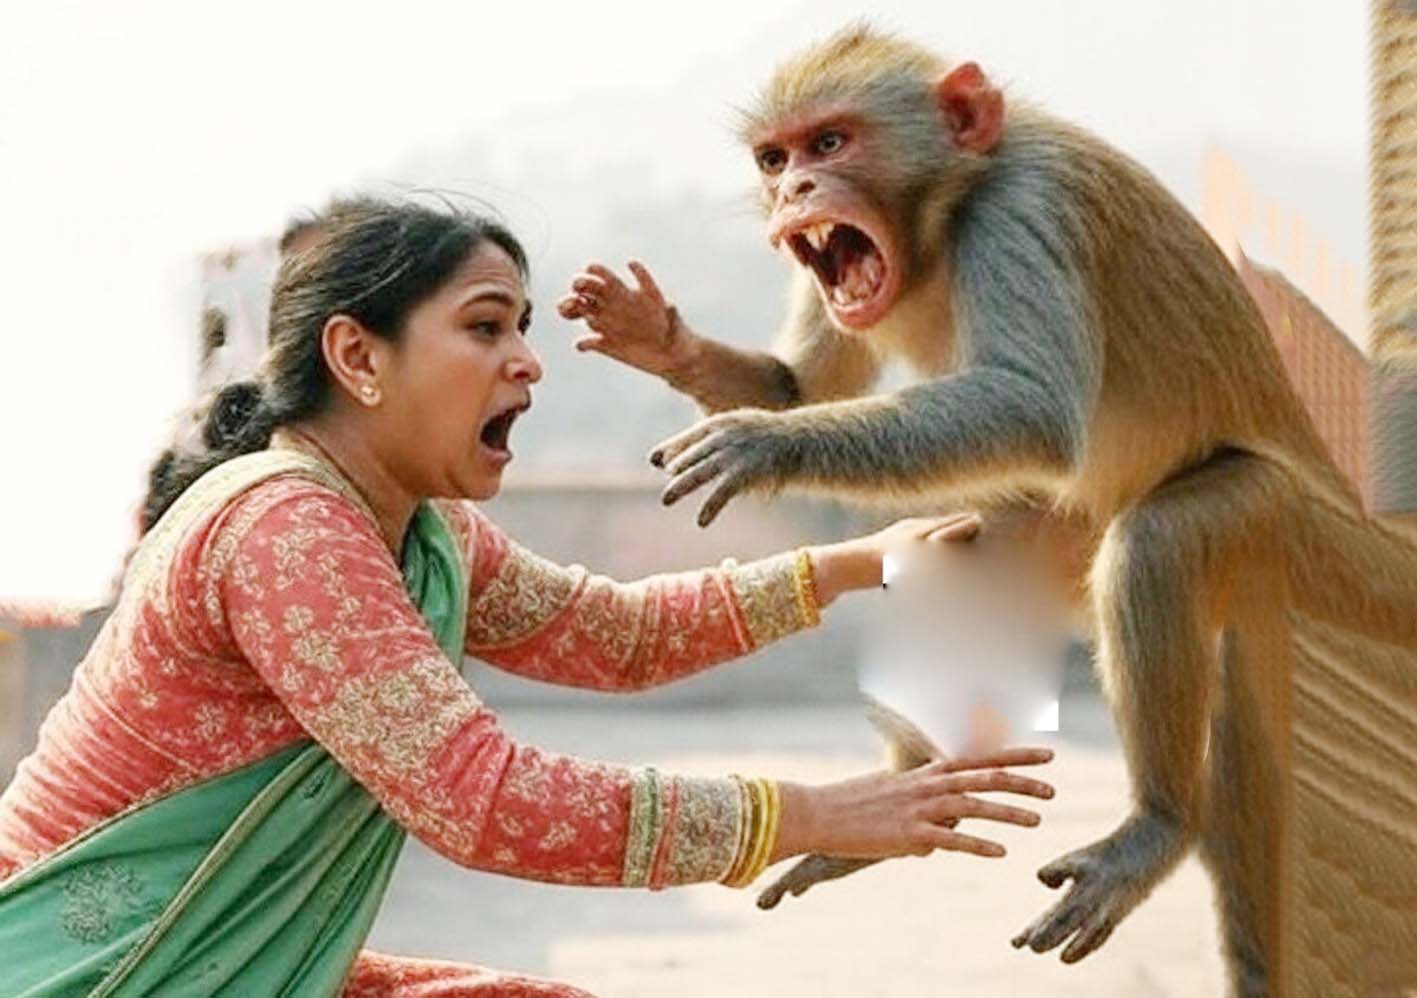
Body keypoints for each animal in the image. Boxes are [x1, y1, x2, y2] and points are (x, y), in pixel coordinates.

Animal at [559, 23, 1417, 995]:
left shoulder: (1021, 210)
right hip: (1081, 528)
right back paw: (903, 801)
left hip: (1306, 538)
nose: (793, 191)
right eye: (774, 157)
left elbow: (1031, 409)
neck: (942, 217)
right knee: (955, 553)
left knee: (1162, 538)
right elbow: (800, 385)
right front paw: (656, 336)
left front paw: (769, 446)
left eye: (829, 143)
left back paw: (1156, 825)